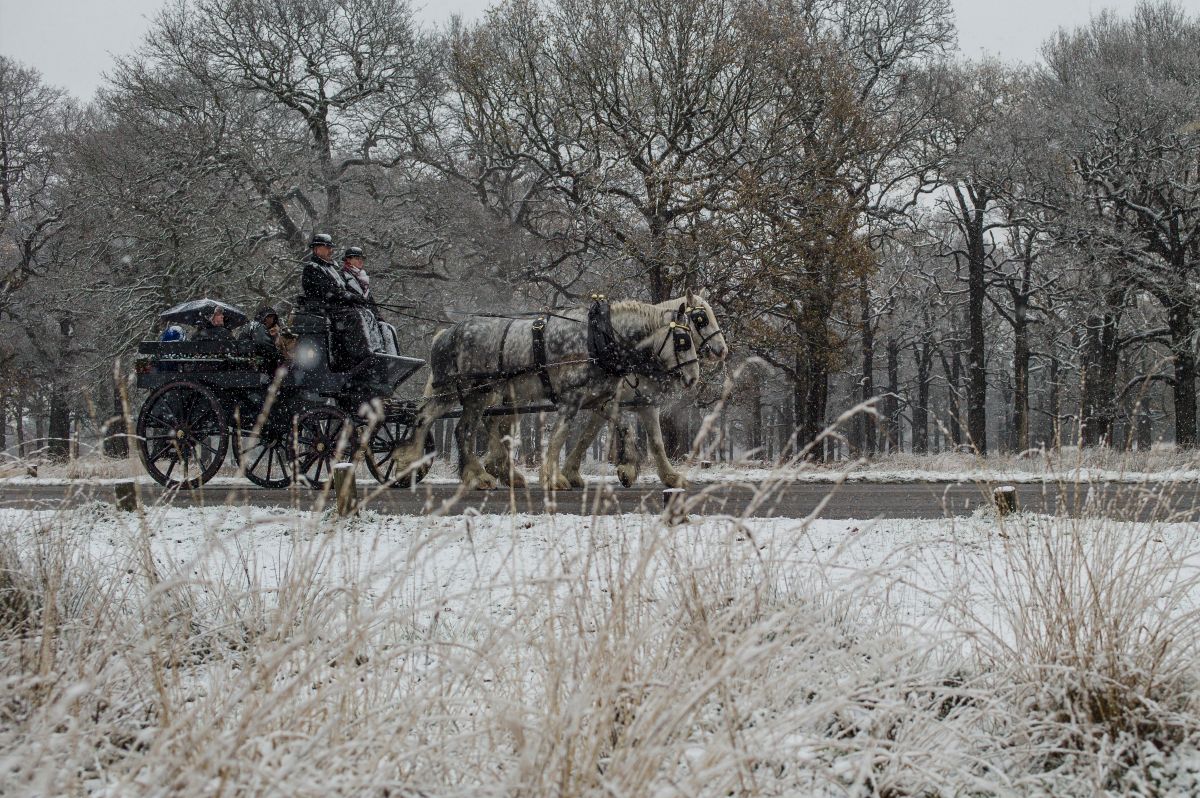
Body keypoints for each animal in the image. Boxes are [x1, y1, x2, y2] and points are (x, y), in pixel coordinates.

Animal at [389, 299, 702, 489]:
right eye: (683, 340)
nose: (693, 378)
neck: (598, 339)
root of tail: (446, 334)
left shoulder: (601, 399)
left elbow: (626, 428)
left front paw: (627, 469)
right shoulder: (571, 399)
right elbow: (558, 438)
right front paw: (553, 478)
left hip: (465, 394)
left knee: (426, 418)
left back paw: (410, 464)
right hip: (473, 394)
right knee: (459, 428)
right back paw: (476, 475)